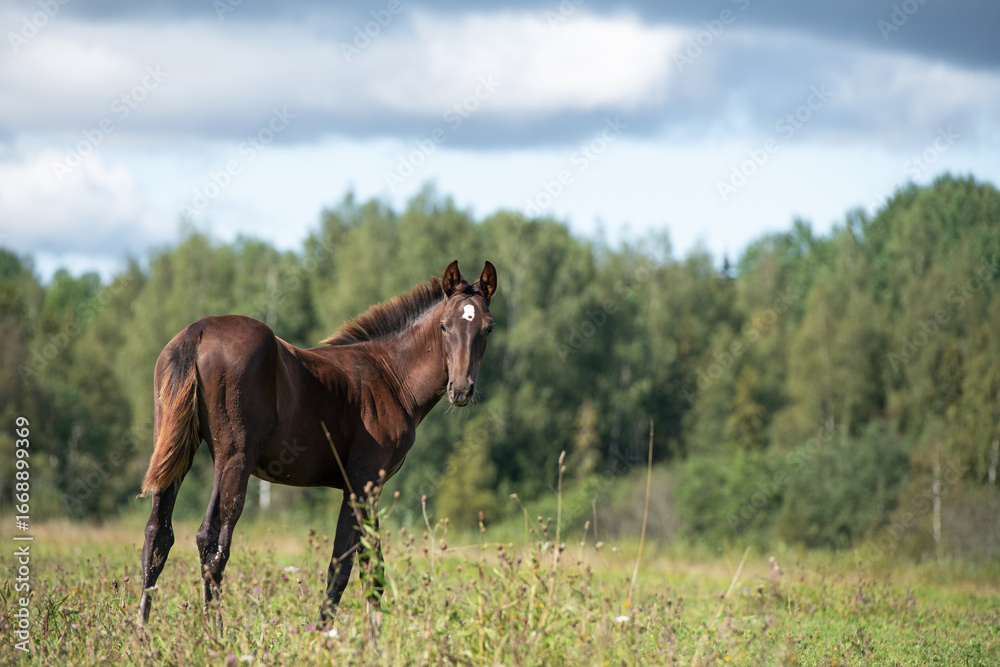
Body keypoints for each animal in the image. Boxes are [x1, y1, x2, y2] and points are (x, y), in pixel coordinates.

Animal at [137, 260, 497, 627]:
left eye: (488, 328)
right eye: (443, 325)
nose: (461, 389)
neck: (391, 375)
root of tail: (197, 332)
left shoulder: (369, 486)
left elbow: (373, 568)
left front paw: (374, 636)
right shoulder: (362, 480)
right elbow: (342, 565)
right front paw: (324, 633)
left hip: (175, 450)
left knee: (158, 535)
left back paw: (143, 629)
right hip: (233, 457)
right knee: (212, 540)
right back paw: (215, 632)